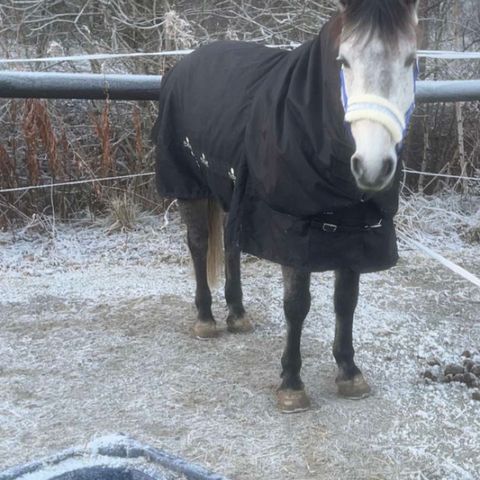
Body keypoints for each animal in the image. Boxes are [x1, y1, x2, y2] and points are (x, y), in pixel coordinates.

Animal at [152, 0, 418, 412]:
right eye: (343, 61)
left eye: (410, 59)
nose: (373, 166)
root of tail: (186, 62)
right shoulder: (291, 230)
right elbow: (297, 306)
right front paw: (292, 383)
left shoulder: (357, 232)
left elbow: (346, 302)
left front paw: (349, 371)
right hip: (190, 186)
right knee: (198, 244)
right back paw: (206, 319)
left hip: (232, 193)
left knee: (229, 243)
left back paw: (237, 314)